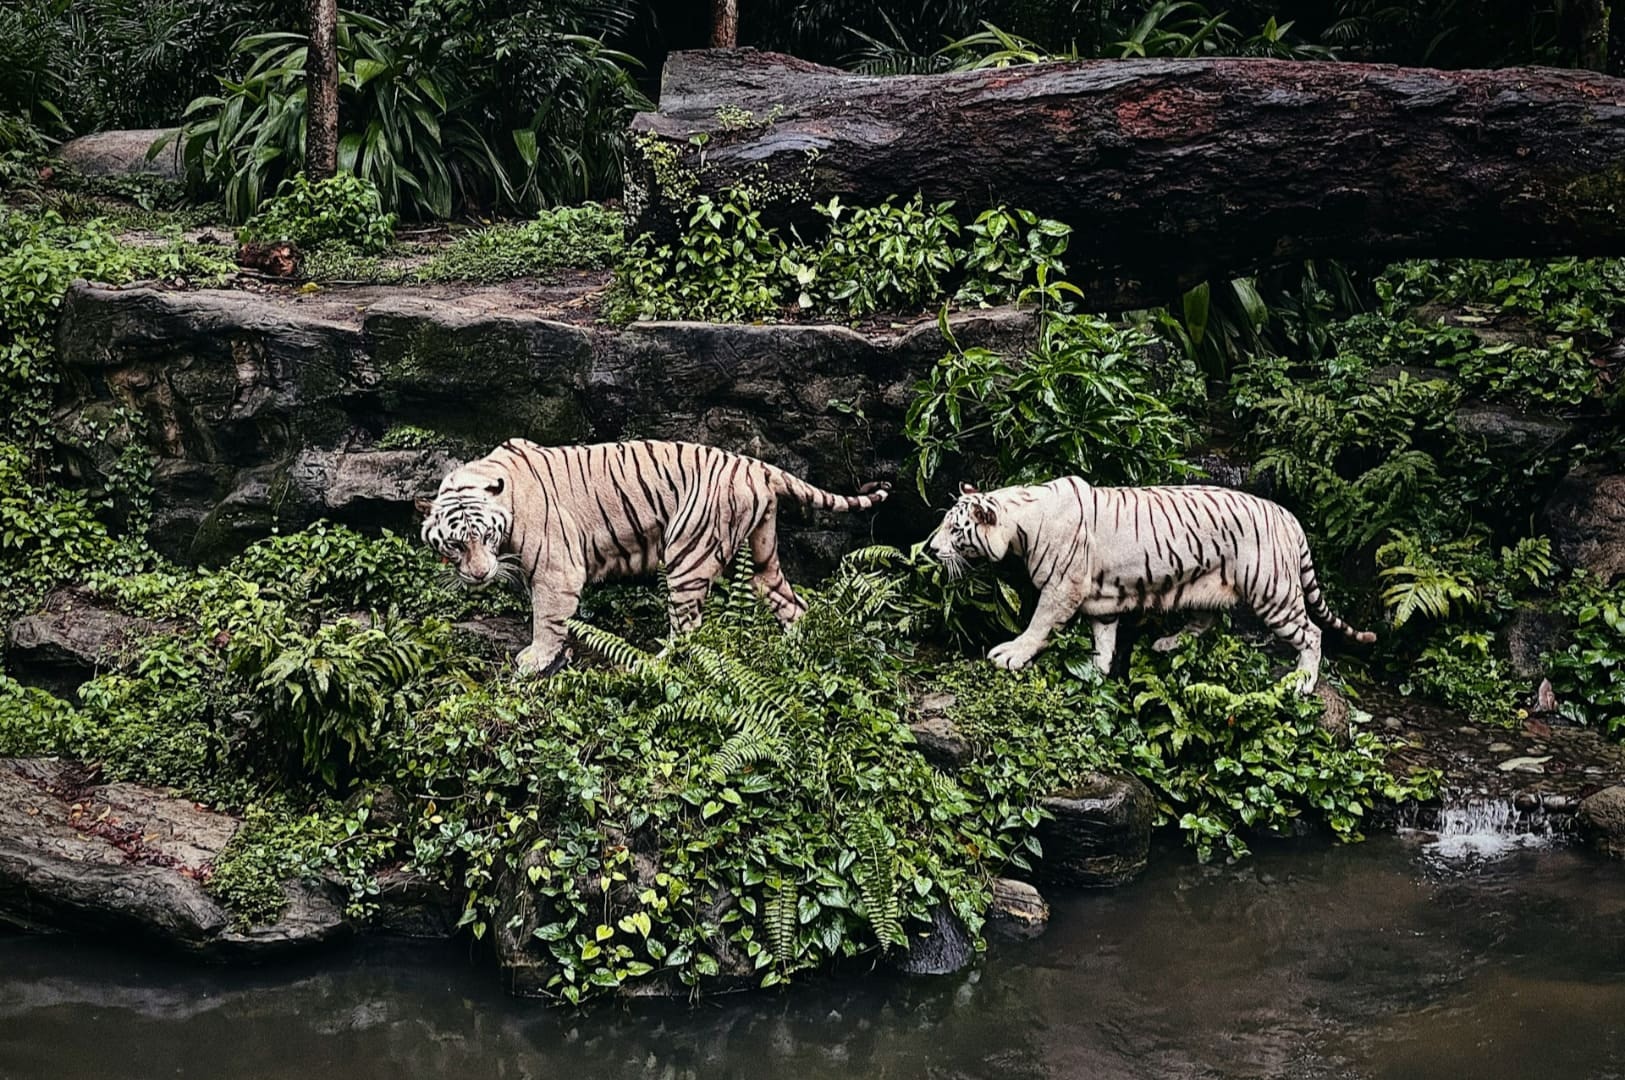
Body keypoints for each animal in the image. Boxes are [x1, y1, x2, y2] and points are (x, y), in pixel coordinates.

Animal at [417, 439, 890, 674]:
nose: (479, 576)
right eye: (455, 544)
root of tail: (756, 465)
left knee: (689, 630)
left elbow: (547, 618)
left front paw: (535, 659)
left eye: (486, 536)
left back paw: (651, 665)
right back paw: (797, 649)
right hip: (762, 556)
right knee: (791, 603)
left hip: (687, 555)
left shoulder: (557, 570)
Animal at [926, 478, 1375, 692]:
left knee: (1312, 633)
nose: (929, 548)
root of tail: (1288, 516)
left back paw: (1303, 682)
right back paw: (1167, 643)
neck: (1021, 521)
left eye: (955, 529)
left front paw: (1011, 655)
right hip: (1206, 583)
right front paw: (1096, 671)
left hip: (1273, 591)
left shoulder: (1060, 588)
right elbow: (1103, 638)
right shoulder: (1101, 600)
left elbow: (1039, 624)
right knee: (1205, 622)